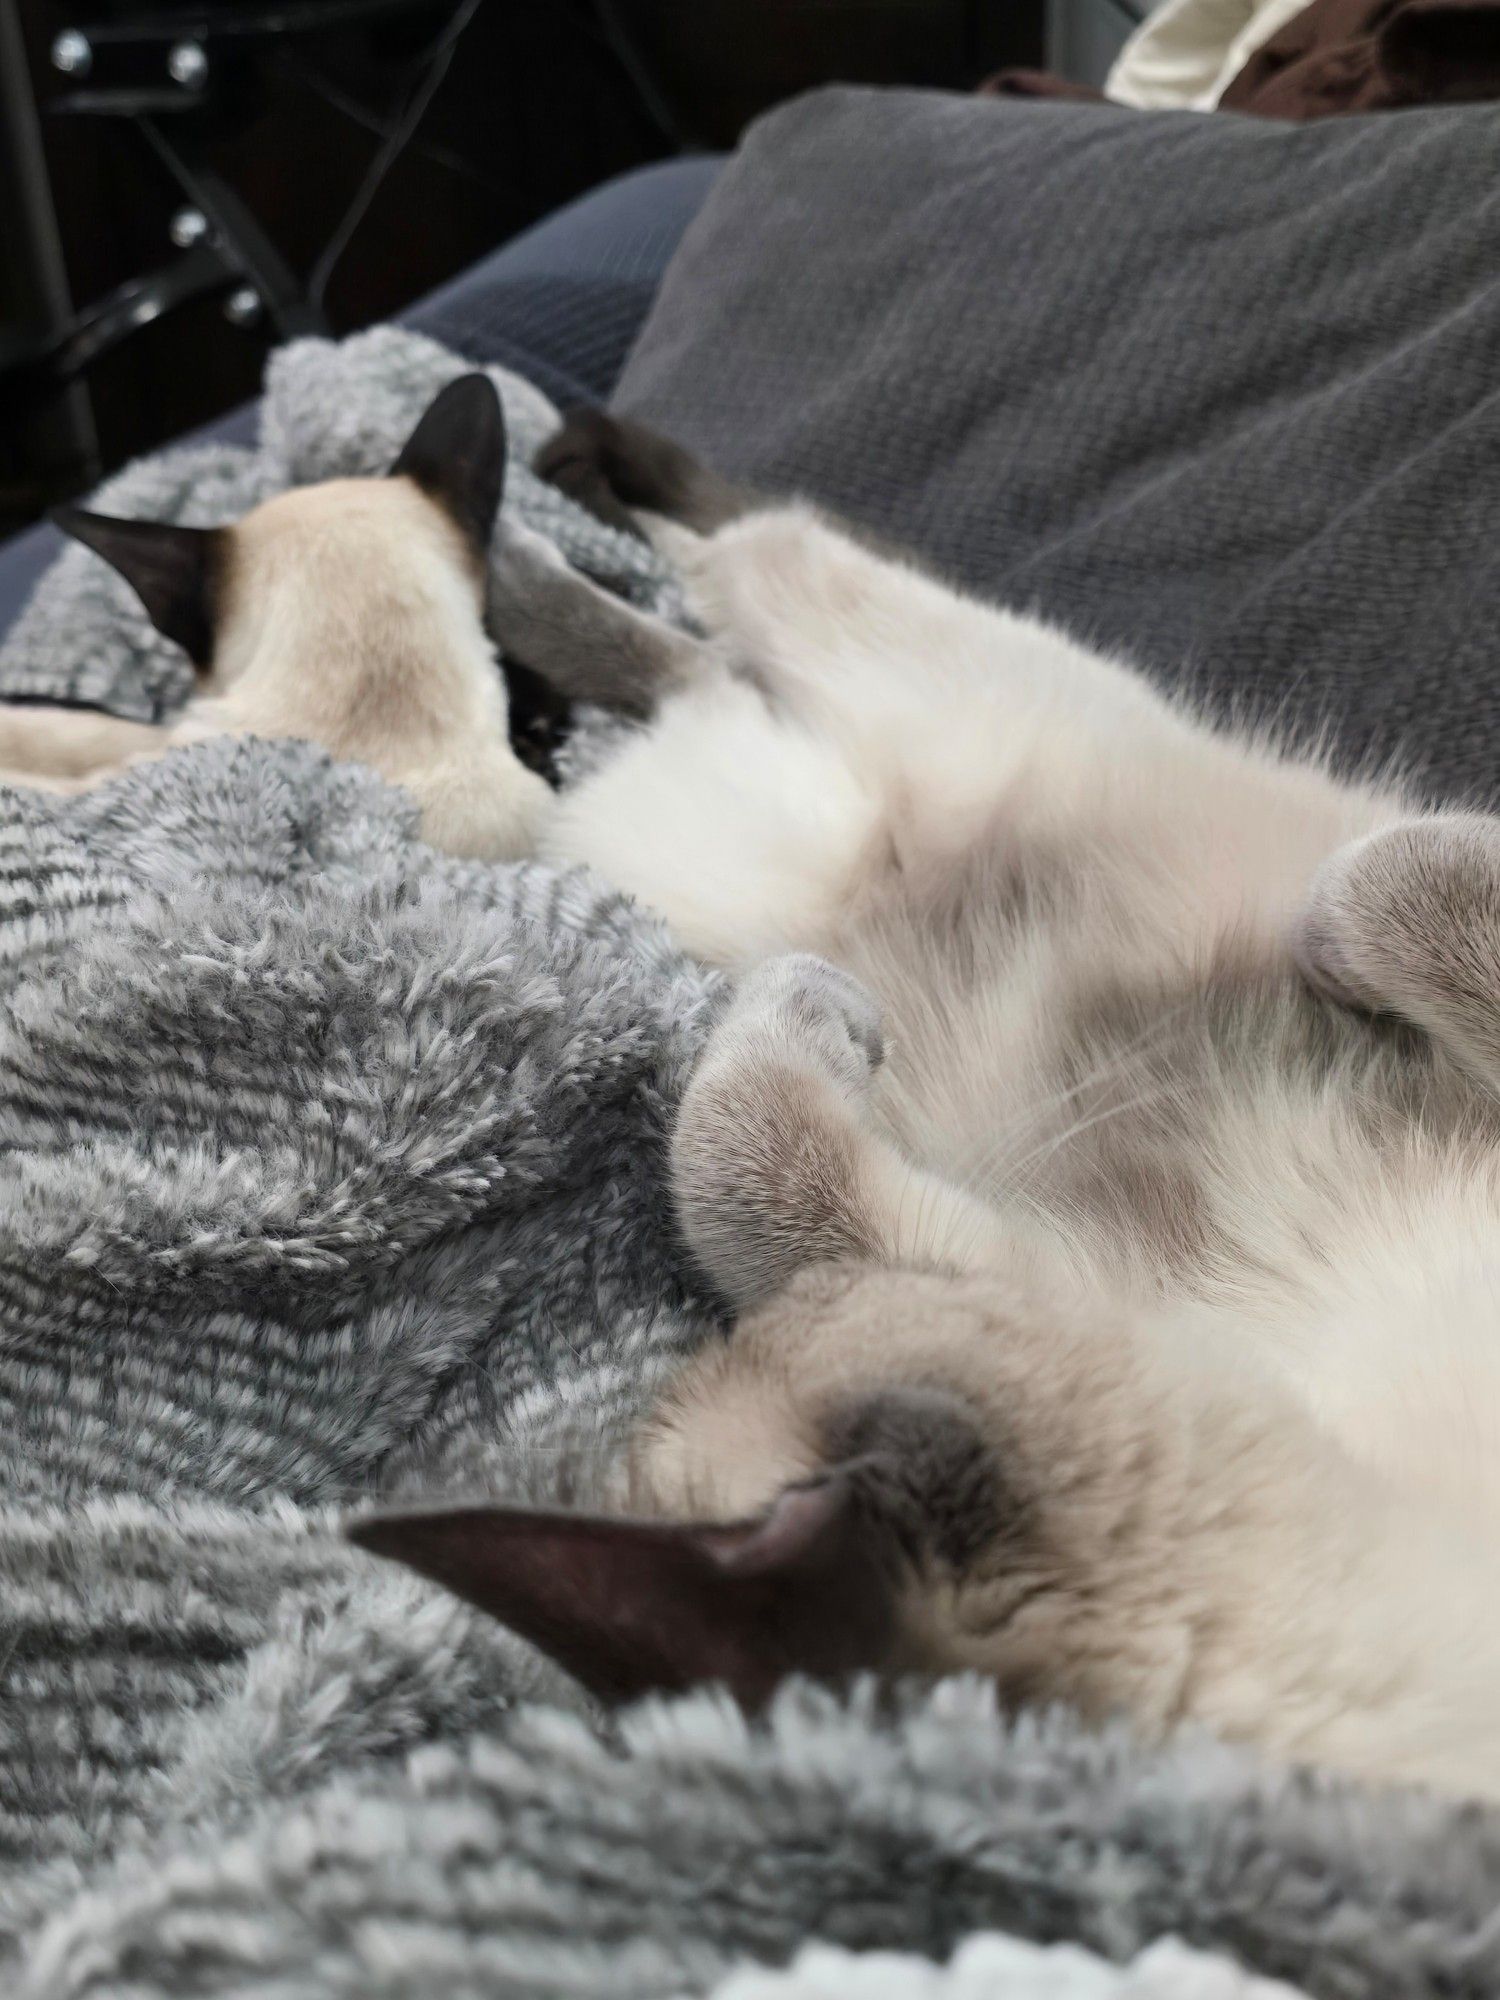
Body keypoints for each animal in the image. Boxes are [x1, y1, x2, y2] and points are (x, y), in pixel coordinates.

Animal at [356, 410, 1500, 1816]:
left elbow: (1385, 885)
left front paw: (1329, 950)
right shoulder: (1055, 1280)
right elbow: (743, 1164)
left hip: (919, 661)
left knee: (724, 602)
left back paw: (519, 490)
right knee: (714, 618)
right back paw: (519, 507)